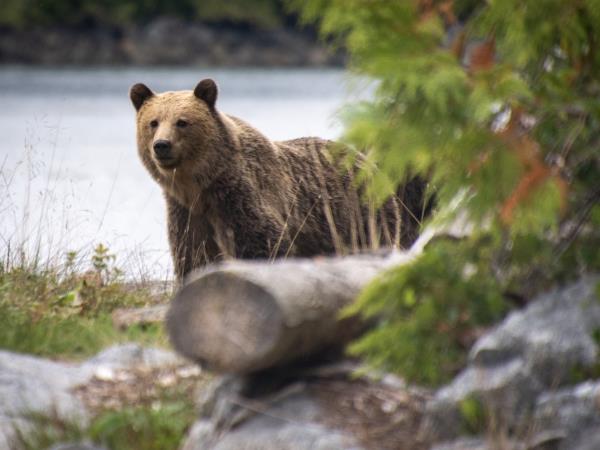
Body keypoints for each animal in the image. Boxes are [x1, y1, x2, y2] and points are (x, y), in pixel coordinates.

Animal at [129, 79, 428, 280]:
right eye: (153, 122)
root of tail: (367, 160)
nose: (162, 145)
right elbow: (193, 255)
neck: (202, 186)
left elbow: (264, 245)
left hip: (360, 215)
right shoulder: (188, 213)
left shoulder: (243, 199)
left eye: (182, 121)